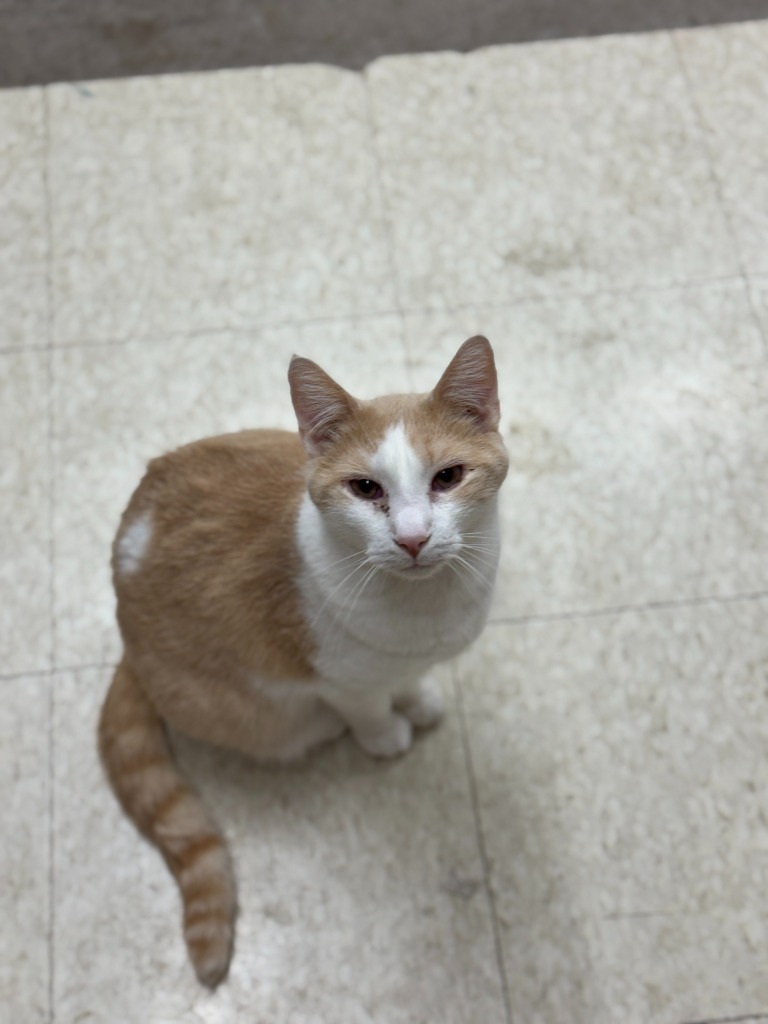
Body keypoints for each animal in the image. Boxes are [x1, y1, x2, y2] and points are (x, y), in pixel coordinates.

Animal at [100, 333, 512, 983]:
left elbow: (407, 681)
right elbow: (370, 707)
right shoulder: (339, 680)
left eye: (448, 477)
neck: (425, 610)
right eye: (365, 489)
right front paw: (387, 735)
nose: (413, 538)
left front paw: (418, 699)